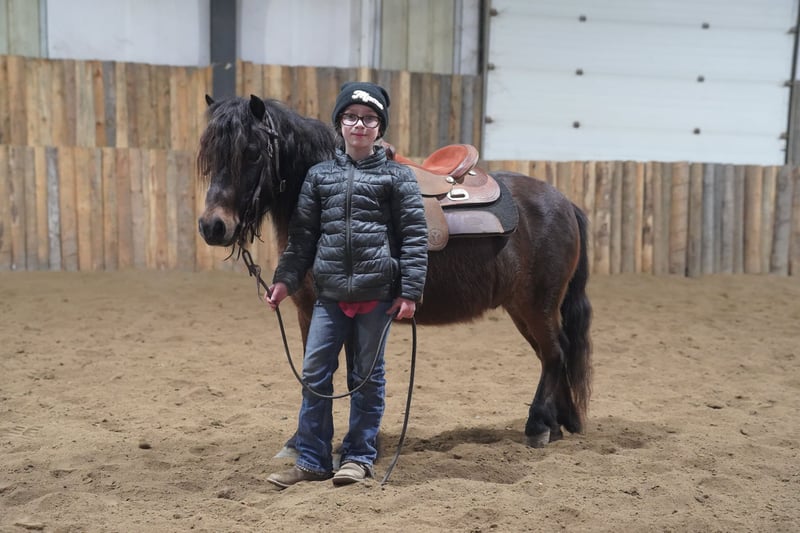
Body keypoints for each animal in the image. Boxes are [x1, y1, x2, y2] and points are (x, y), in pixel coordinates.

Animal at [197, 94, 592, 450]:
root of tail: (564, 202)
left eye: (251, 151)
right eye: (209, 155)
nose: (213, 226)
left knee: (555, 353)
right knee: (551, 354)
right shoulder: (310, 310)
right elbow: (321, 373)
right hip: (521, 308)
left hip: (538, 304)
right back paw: (557, 423)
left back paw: (538, 426)